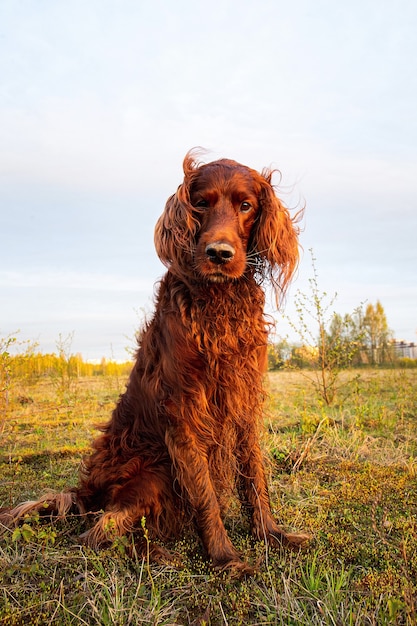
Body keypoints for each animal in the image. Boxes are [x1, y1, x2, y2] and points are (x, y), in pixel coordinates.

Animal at [1, 150, 308, 572]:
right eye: (201, 203)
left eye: (246, 205)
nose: (219, 254)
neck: (218, 304)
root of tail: (85, 490)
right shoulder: (185, 408)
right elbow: (205, 495)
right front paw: (225, 558)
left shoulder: (244, 396)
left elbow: (253, 475)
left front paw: (270, 535)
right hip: (154, 468)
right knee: (97, 532)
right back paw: (160, 556)